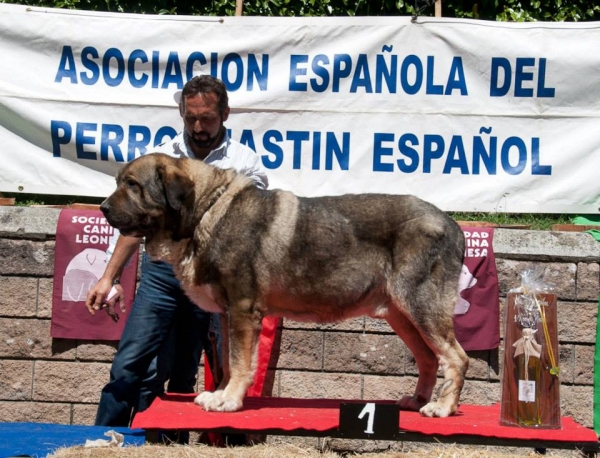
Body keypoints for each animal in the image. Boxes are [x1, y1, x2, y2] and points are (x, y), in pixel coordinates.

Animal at [102, 152, 468, 416]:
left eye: (133, 185)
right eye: (120, 182)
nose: (103, 207)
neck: (204, 211)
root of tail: (452, 224)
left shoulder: (242, 310)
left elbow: (238, 362)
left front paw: (228, 400)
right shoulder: (227, 315)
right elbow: (228, 360)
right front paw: (219, 393)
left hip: (420, 307)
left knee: (456, 357)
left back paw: (443, 408)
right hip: (401, 315)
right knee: (429, 358)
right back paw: (418, 401)